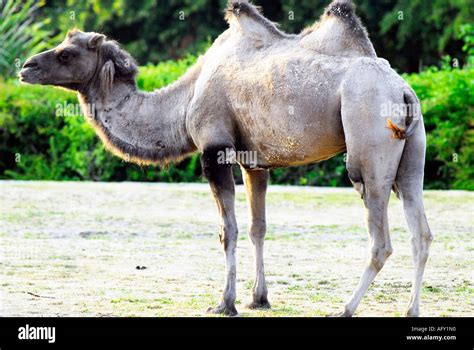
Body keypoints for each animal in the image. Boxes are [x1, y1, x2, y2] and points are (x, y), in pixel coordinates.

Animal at [18, 0, 434, 318]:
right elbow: (257, 227)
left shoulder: (214, 148)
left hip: (368, 145)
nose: (25, 67)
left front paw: (225, 303)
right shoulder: (255, 161)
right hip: (412, 155)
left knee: (381, 237)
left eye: (66, 53)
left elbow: (227, 230)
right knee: (421, 231)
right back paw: (411, 309)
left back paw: (345, 308)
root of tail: (403, 89)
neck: (185, 99)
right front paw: (258, 299)